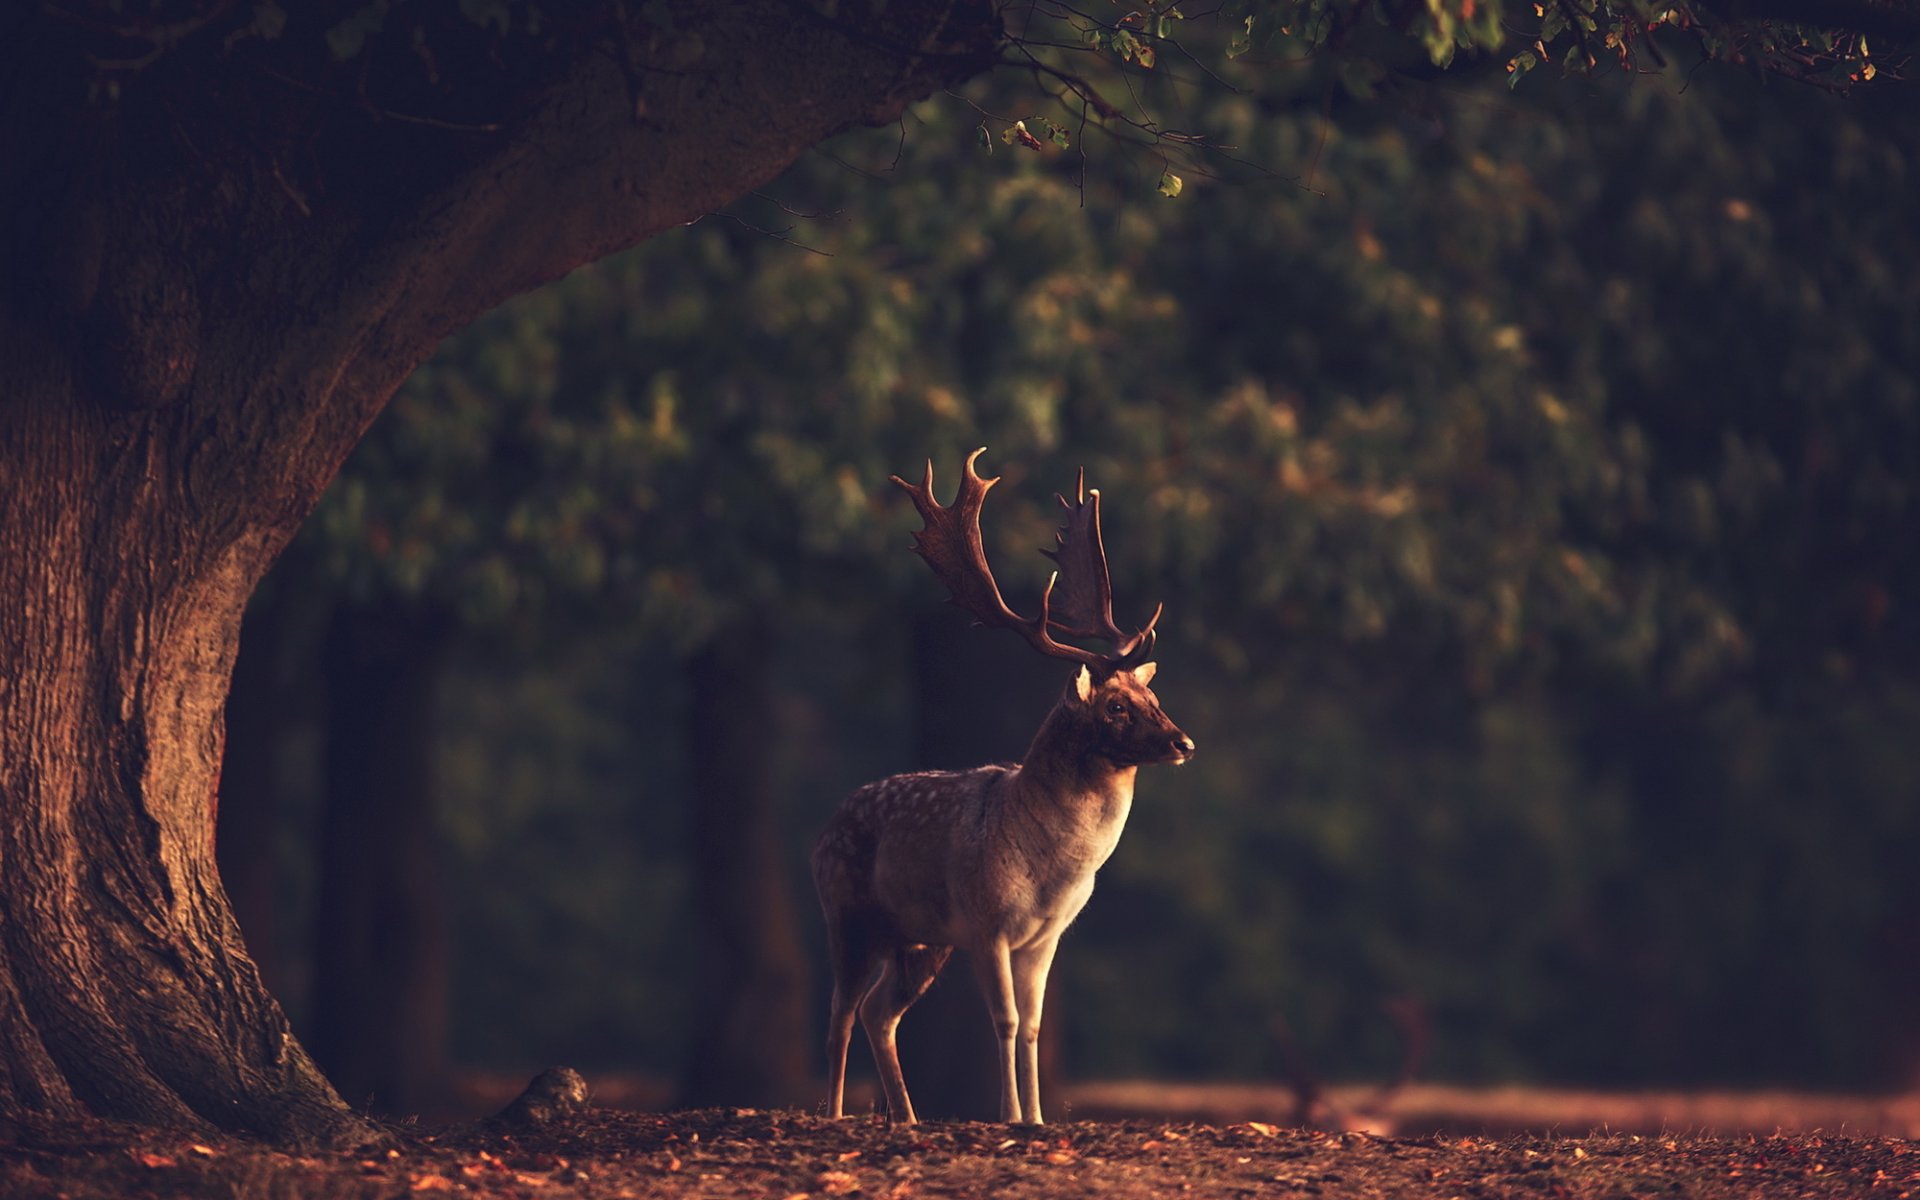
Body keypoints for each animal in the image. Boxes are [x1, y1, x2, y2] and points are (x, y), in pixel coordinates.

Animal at [814, 449, 1198, 1121]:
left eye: (1153, 697)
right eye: (1116, 708)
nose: (1184, 743)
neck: (1053, 872)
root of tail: (822, 832)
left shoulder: (1046, 936)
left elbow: (1036, 1026)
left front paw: (1039, 1118)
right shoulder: (987, 922)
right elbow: (1007, 1020)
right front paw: (1011, 1116)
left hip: (919, 940)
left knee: (879, 1013)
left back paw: (908, 1118)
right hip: (848, 913)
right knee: (840, 1013)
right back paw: (835, 1115)